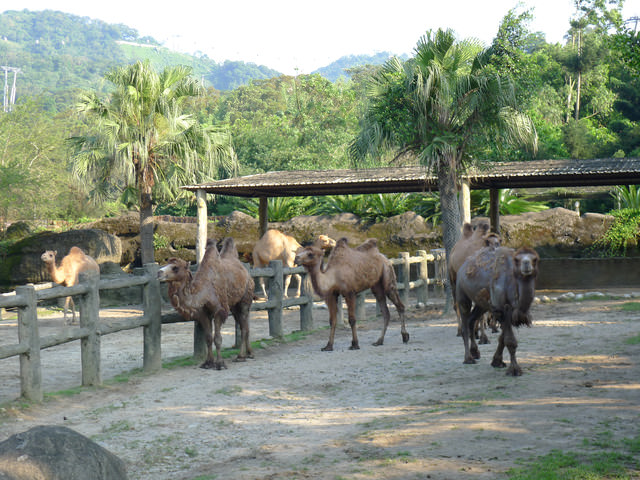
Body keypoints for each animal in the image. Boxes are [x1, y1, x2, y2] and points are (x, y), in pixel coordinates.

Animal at [158, 238, 255, 370]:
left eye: (175, 268)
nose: (159, 272)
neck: (204, 292)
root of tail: (246, 272)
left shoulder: (219, 310)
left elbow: (217, 338)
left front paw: (220, 363)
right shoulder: (203, 313)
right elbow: (208, 338)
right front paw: (208, 363)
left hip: (246, 297)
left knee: (244, 326)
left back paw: (241, 356)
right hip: (234, 305)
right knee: (243, 324)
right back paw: (249, 353)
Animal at [456, 246, 540, 376]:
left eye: (535, 259)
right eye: (517, 260)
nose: (526, 264)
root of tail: (463, 266)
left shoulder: (504, 311)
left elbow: (502, 338)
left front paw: (497, 361)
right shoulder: (501, 310)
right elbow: (509, 340)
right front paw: (514, 370)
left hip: (482, 303)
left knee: (472, 320)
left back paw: (475, 353)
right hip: (461, 293)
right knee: (465, 317)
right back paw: (468, 359)